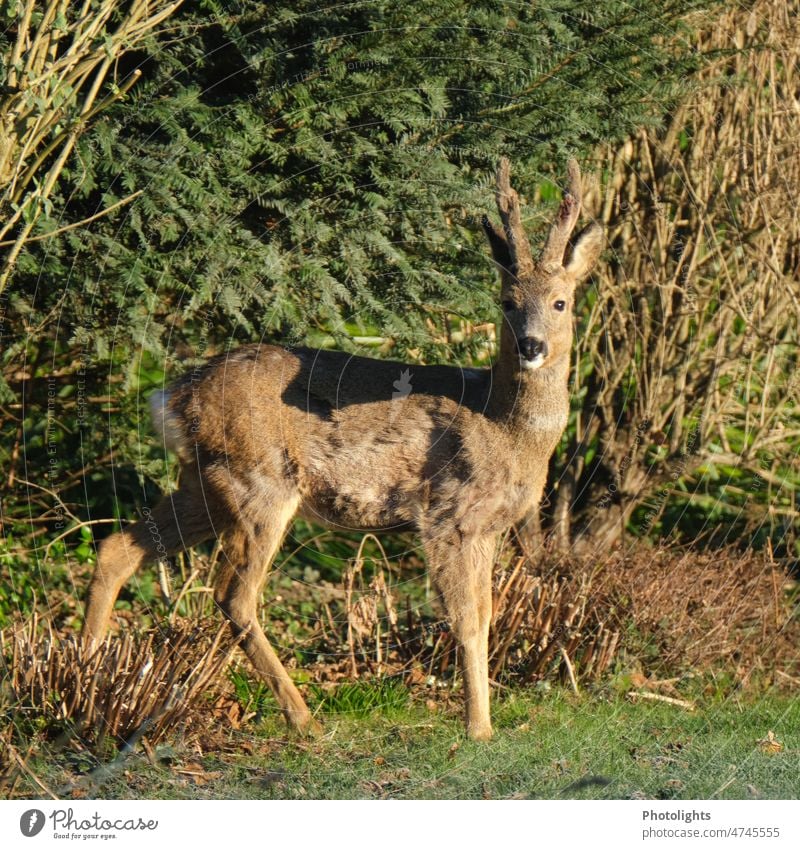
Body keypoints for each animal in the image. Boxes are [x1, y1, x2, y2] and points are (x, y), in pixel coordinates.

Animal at [84, 156, 604, 740]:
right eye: (507, 303)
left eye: (560, 301)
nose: (531, 345)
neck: (505, 428)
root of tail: (175, 396)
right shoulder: (445, 514)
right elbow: (467, 621)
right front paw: (478, 729)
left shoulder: (487, 528)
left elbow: (488, 618)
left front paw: (482, 721)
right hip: (259, 482)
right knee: (234, 595)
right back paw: (303, 717)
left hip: (205, 483)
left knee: (118, 548)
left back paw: (85, 673)